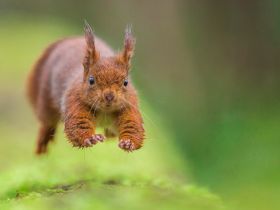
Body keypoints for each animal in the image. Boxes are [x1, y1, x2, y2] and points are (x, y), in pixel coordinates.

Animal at [26, 21, 144, 154]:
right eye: (91, 80)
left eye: (126, 82)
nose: (109, 96)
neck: (105, 111)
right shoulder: (74, 101)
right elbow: (78, 125)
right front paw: (90, 138)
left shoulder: (130, 105)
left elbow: (132, 126)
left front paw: (128, 143)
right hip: (46, 99)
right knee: (47, 122)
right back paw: (43, 140)